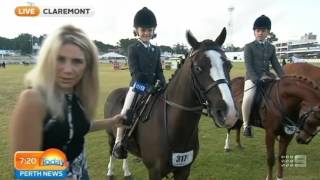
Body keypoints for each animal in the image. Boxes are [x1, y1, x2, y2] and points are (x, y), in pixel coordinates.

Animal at [104, 27, 239, 179]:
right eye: (198, 68)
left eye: (229, 65)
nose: (228, 113)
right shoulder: (154, 172)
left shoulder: (184, 170)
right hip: (110, 135)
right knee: (112, 150)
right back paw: (110, 171)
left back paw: (127, 172)